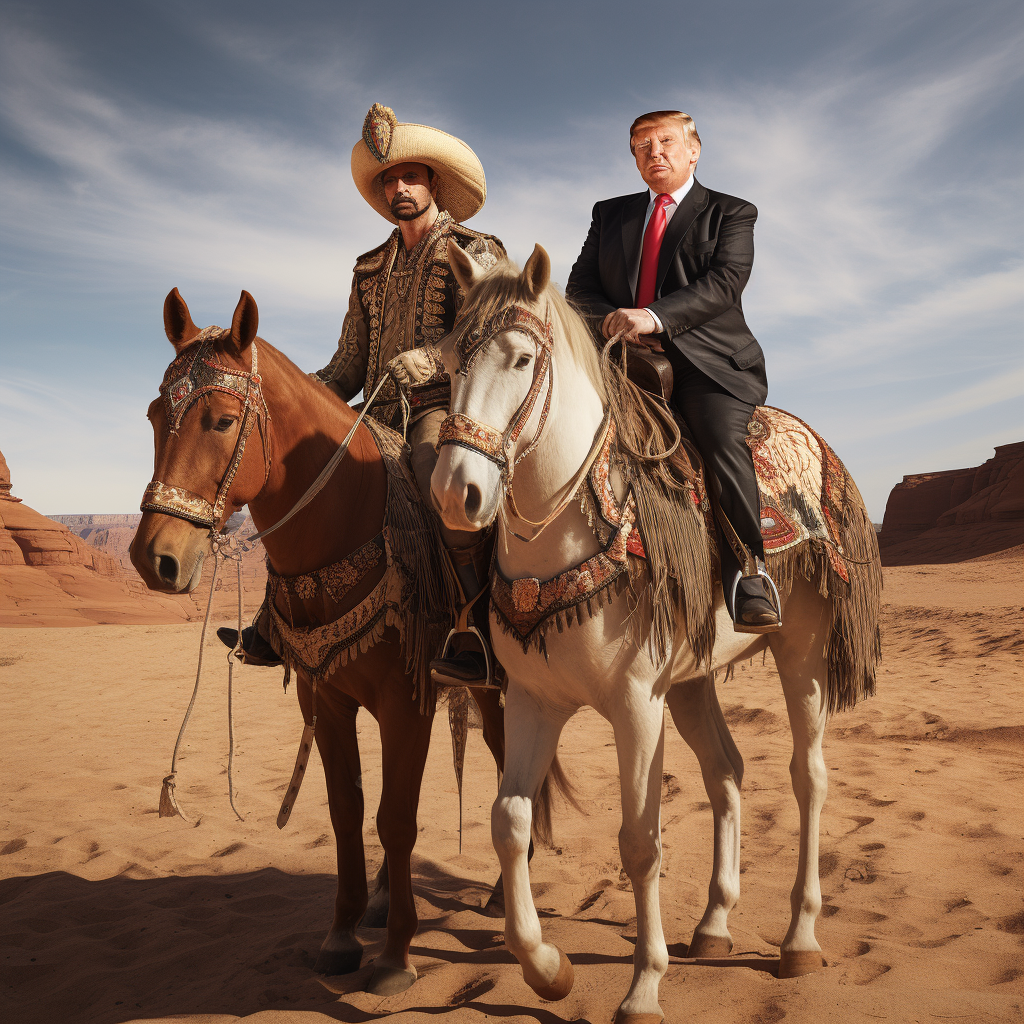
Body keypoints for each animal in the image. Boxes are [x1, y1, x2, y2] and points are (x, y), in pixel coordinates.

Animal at [130, 286, 536, 991]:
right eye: (157, 413)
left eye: (222, 421)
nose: (156, 558)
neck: (348, 519)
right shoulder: (325, 697)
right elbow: (348, 811)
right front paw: (344, 934)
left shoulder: (407, 702)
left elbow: (395, 819)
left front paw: (396, 955)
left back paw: (497, 894)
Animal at [428, 243, 884, 1019]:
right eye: (455, 359)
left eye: (522, 359)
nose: (457, 493)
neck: (576, 528)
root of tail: (822, 452)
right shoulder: (534, 699)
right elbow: (510, 821)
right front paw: (548, 968)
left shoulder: (636, 704)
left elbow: (640, 841)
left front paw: (643, 985)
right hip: (693, 679)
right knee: (727, 772)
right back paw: (714, 926)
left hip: (801, 650)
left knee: (809, 778)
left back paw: (799, 937)